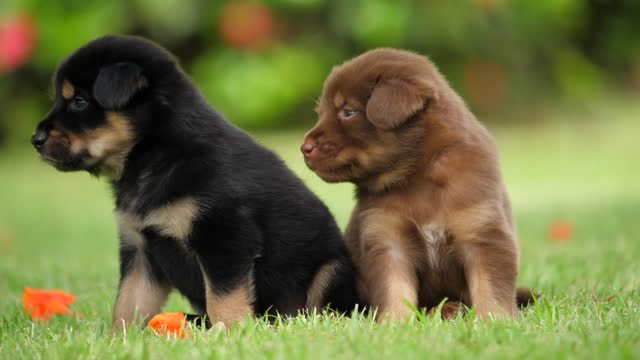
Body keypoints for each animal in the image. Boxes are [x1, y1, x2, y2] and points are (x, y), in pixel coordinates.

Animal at [33, 35, 360, 330]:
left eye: (79, 102)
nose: (35, 139)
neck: (153, 155)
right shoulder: (140, 250)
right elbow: (128, 303)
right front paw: (118, 339)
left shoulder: (224, 237)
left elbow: (223, 298)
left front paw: (230, 333)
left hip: (332, 269)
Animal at [302, 48, 532, 320]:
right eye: (321, 113)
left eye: (348, 112)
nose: (304, 147)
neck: (418, 177)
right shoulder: (387, 239)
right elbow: (394, 288)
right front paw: (396, 321)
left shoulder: (483, 233)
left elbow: (491, 288)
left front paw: (494, 320)